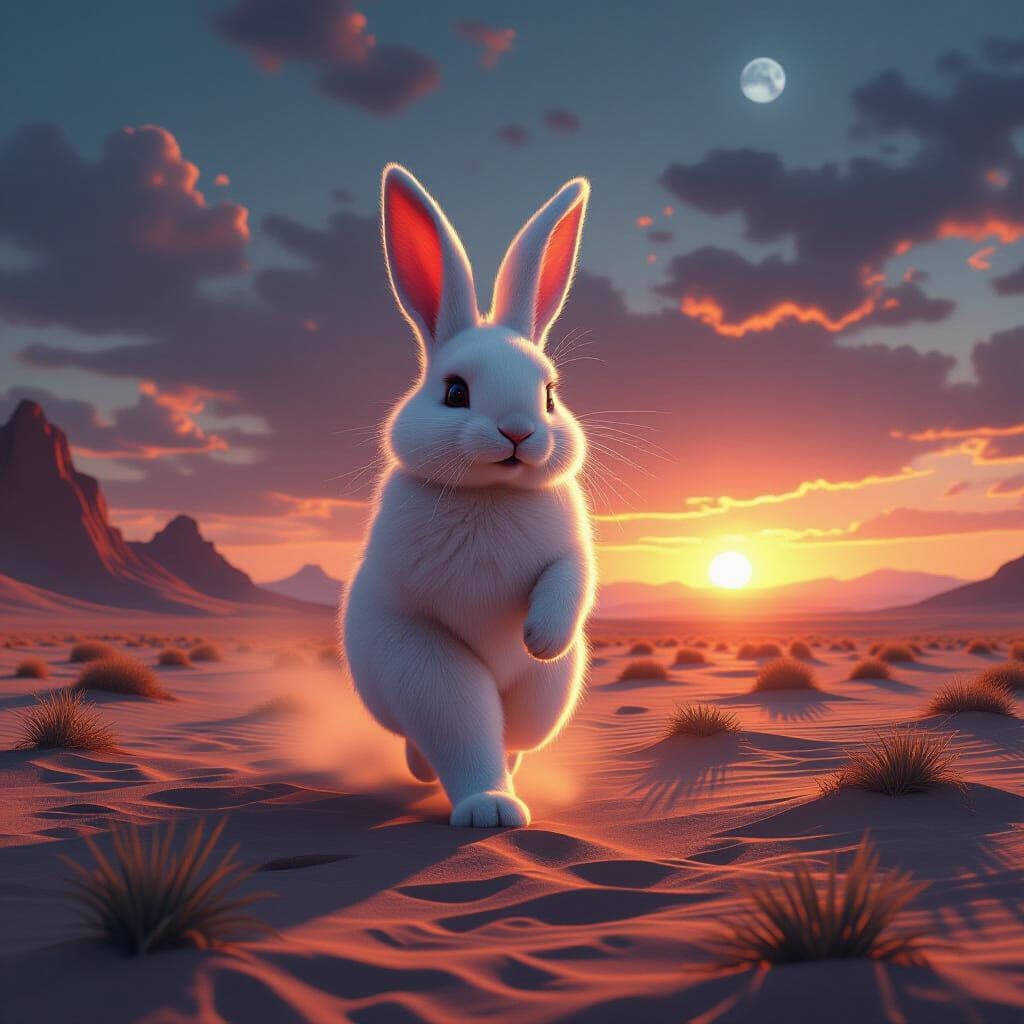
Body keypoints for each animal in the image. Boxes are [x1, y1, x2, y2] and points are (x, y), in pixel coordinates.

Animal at [341, 163, 595, 828]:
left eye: (550, 395)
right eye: (455, 393)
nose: (518, 431)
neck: (493, 492)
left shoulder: (572, 549)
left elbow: (571, 576)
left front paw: (541, 639)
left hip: (545, 699)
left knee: (516, 738)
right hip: (424, 675)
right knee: (457, 732)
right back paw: (488, 807)